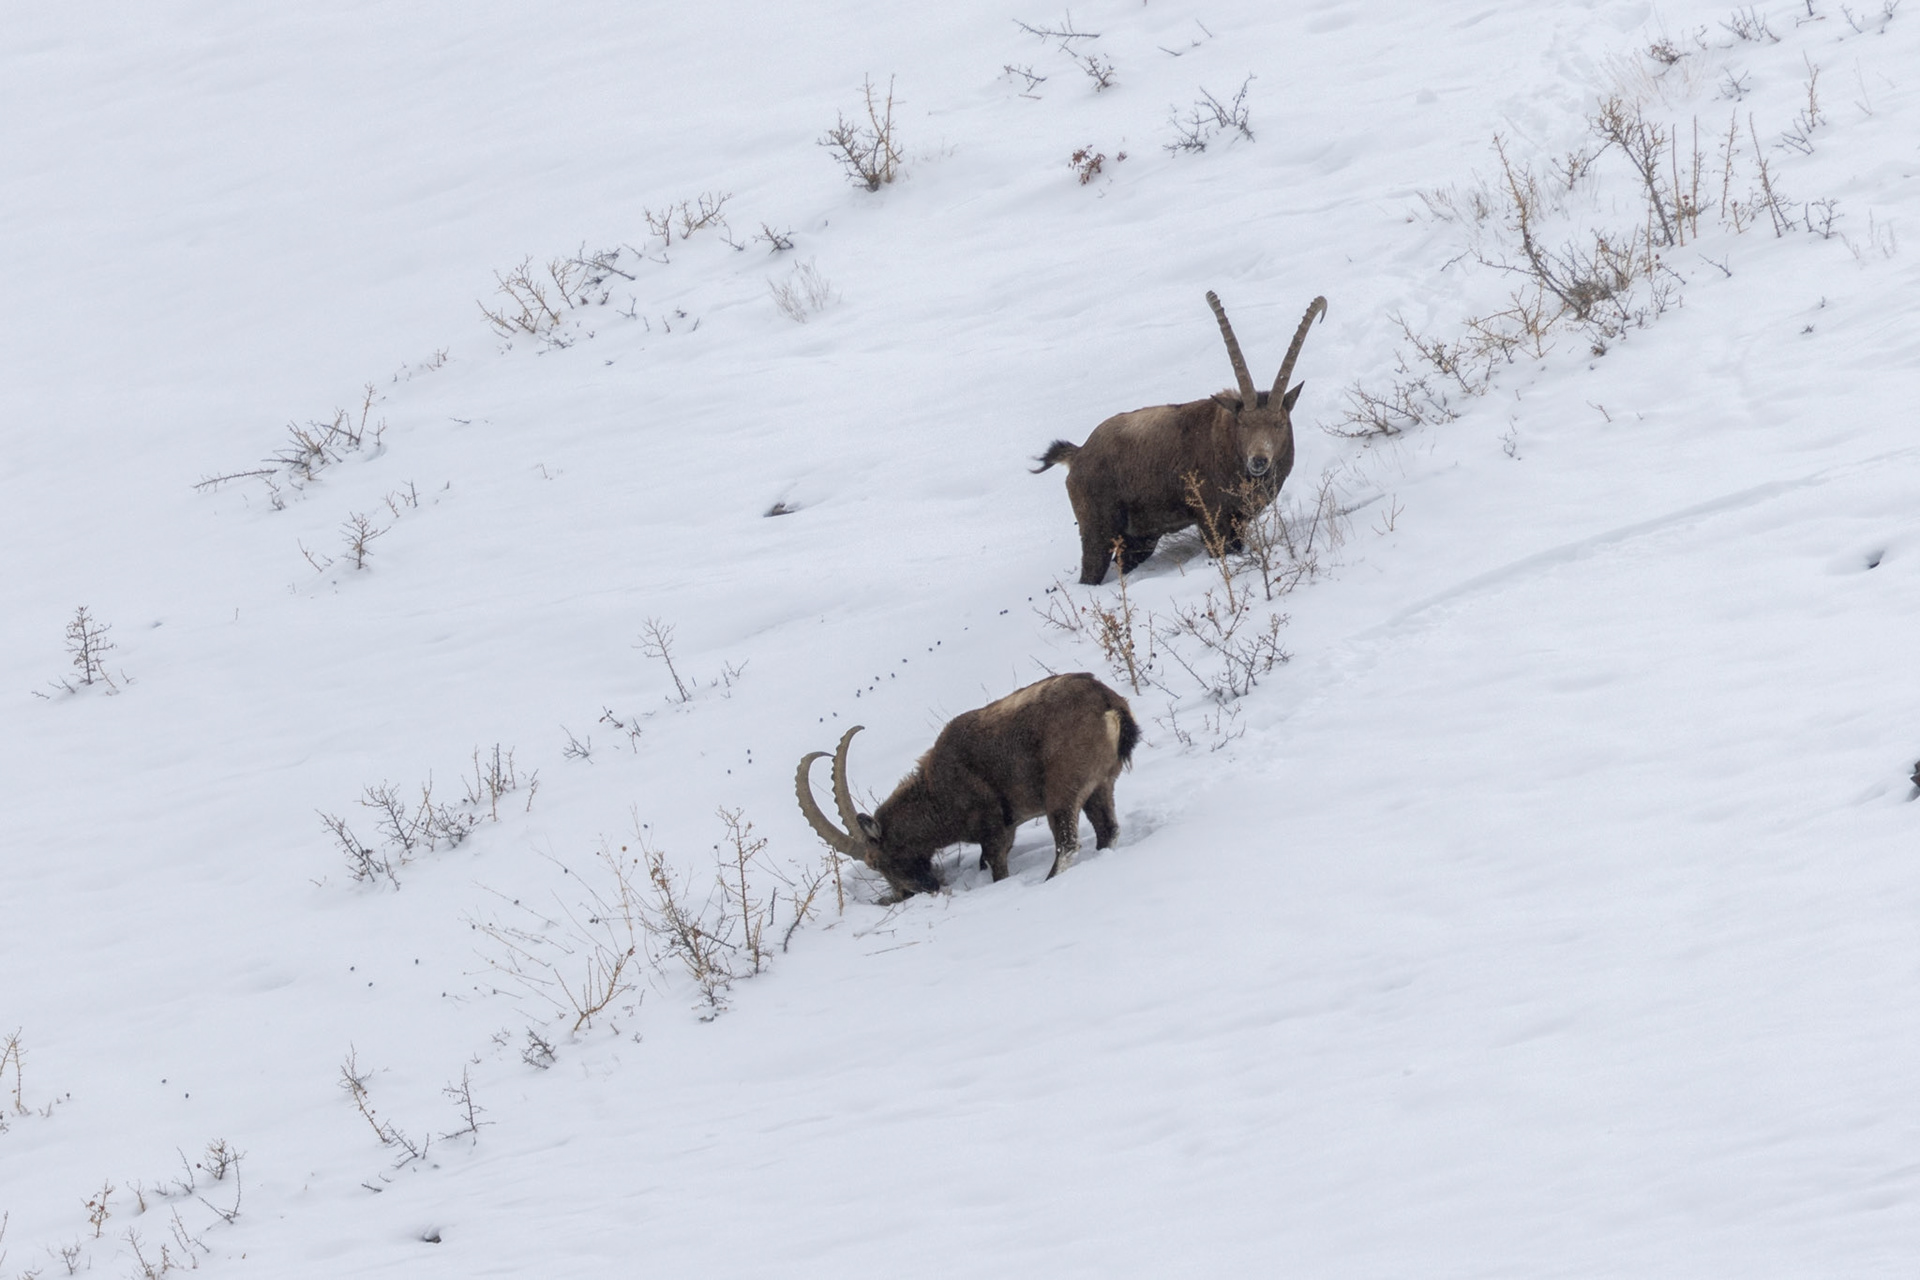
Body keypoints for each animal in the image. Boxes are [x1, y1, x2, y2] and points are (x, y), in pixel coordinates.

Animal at [795, 673, 1139, 899]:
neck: (937, 794)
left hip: (1061, 791)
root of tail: (1108, 702)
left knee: (1067, 845)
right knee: (1108, 830)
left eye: (876, 861)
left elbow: (997, 867)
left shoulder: (994, 829)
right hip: (1100, 785)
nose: (911, 893)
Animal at [1036, 292, 1327, 585]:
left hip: (1140, 538)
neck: (1226, 444)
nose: (1258, 461)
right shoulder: (1212, 518)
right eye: (1243, 424)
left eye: (1279, 423)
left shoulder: (1239, 520)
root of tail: (1078, 454)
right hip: (1098, 528)